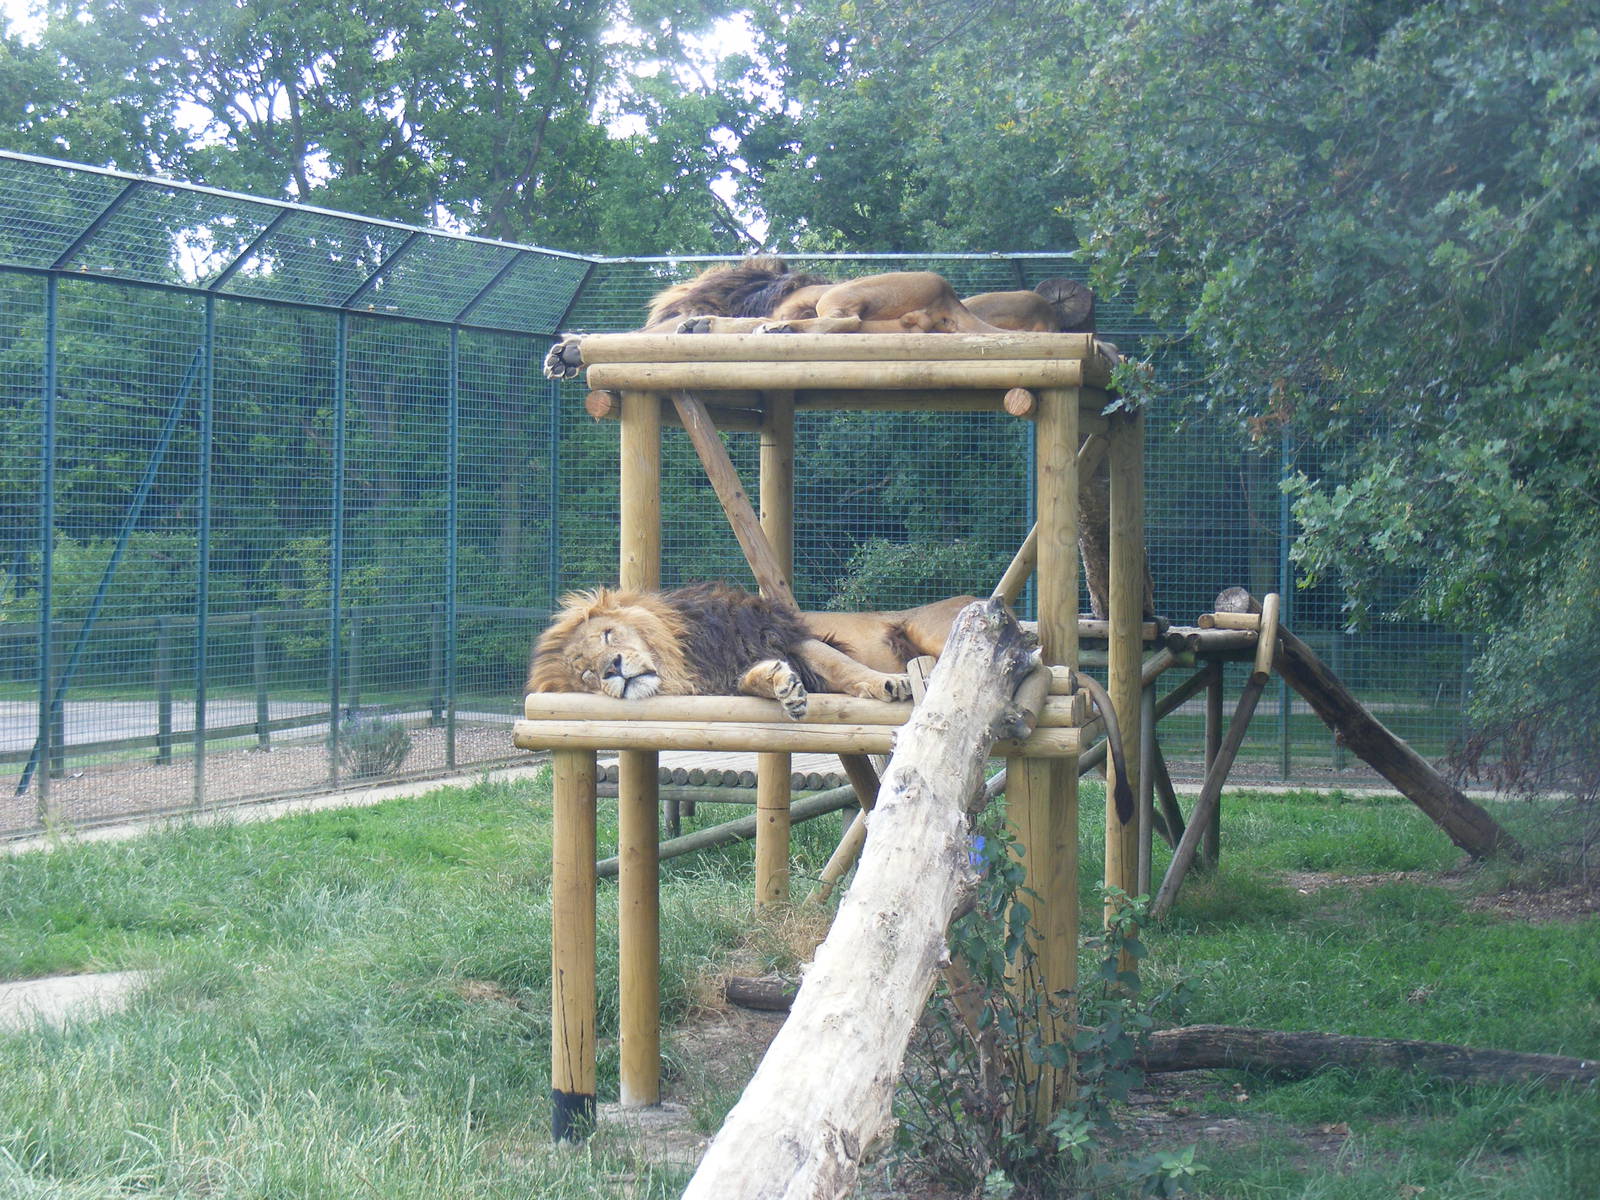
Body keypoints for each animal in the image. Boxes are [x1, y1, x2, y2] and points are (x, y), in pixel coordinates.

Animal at [526, 582, 972, 719]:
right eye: (586, 674)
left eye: (607, 636)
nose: (613, 670)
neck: (684, 661)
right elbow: (753, 681)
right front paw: (782, 685)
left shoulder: (780, 633)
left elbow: (844, 666)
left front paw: (889, 683)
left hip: (932, 627)